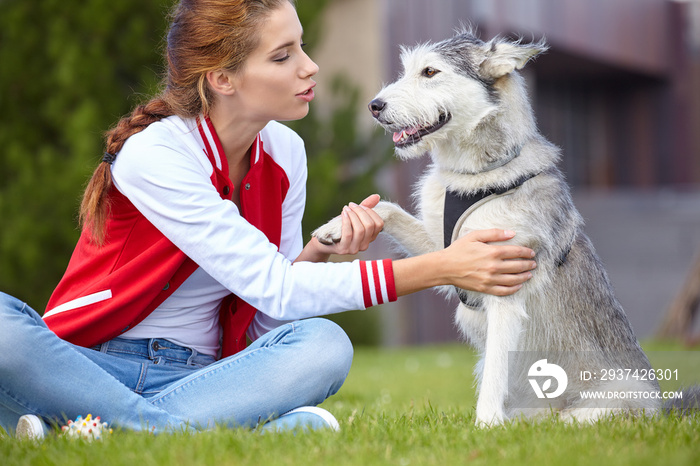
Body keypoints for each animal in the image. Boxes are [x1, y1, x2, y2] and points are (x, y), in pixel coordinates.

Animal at [314, 30, 668, 426]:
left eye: (430, 71)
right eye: (407, 71)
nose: (374, 106)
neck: (475, 177)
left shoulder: (505, 291)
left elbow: (496, 369)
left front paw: (484, 426)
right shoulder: (447, 252)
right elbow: (388, 209)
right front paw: (339, 225)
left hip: (597, 408)